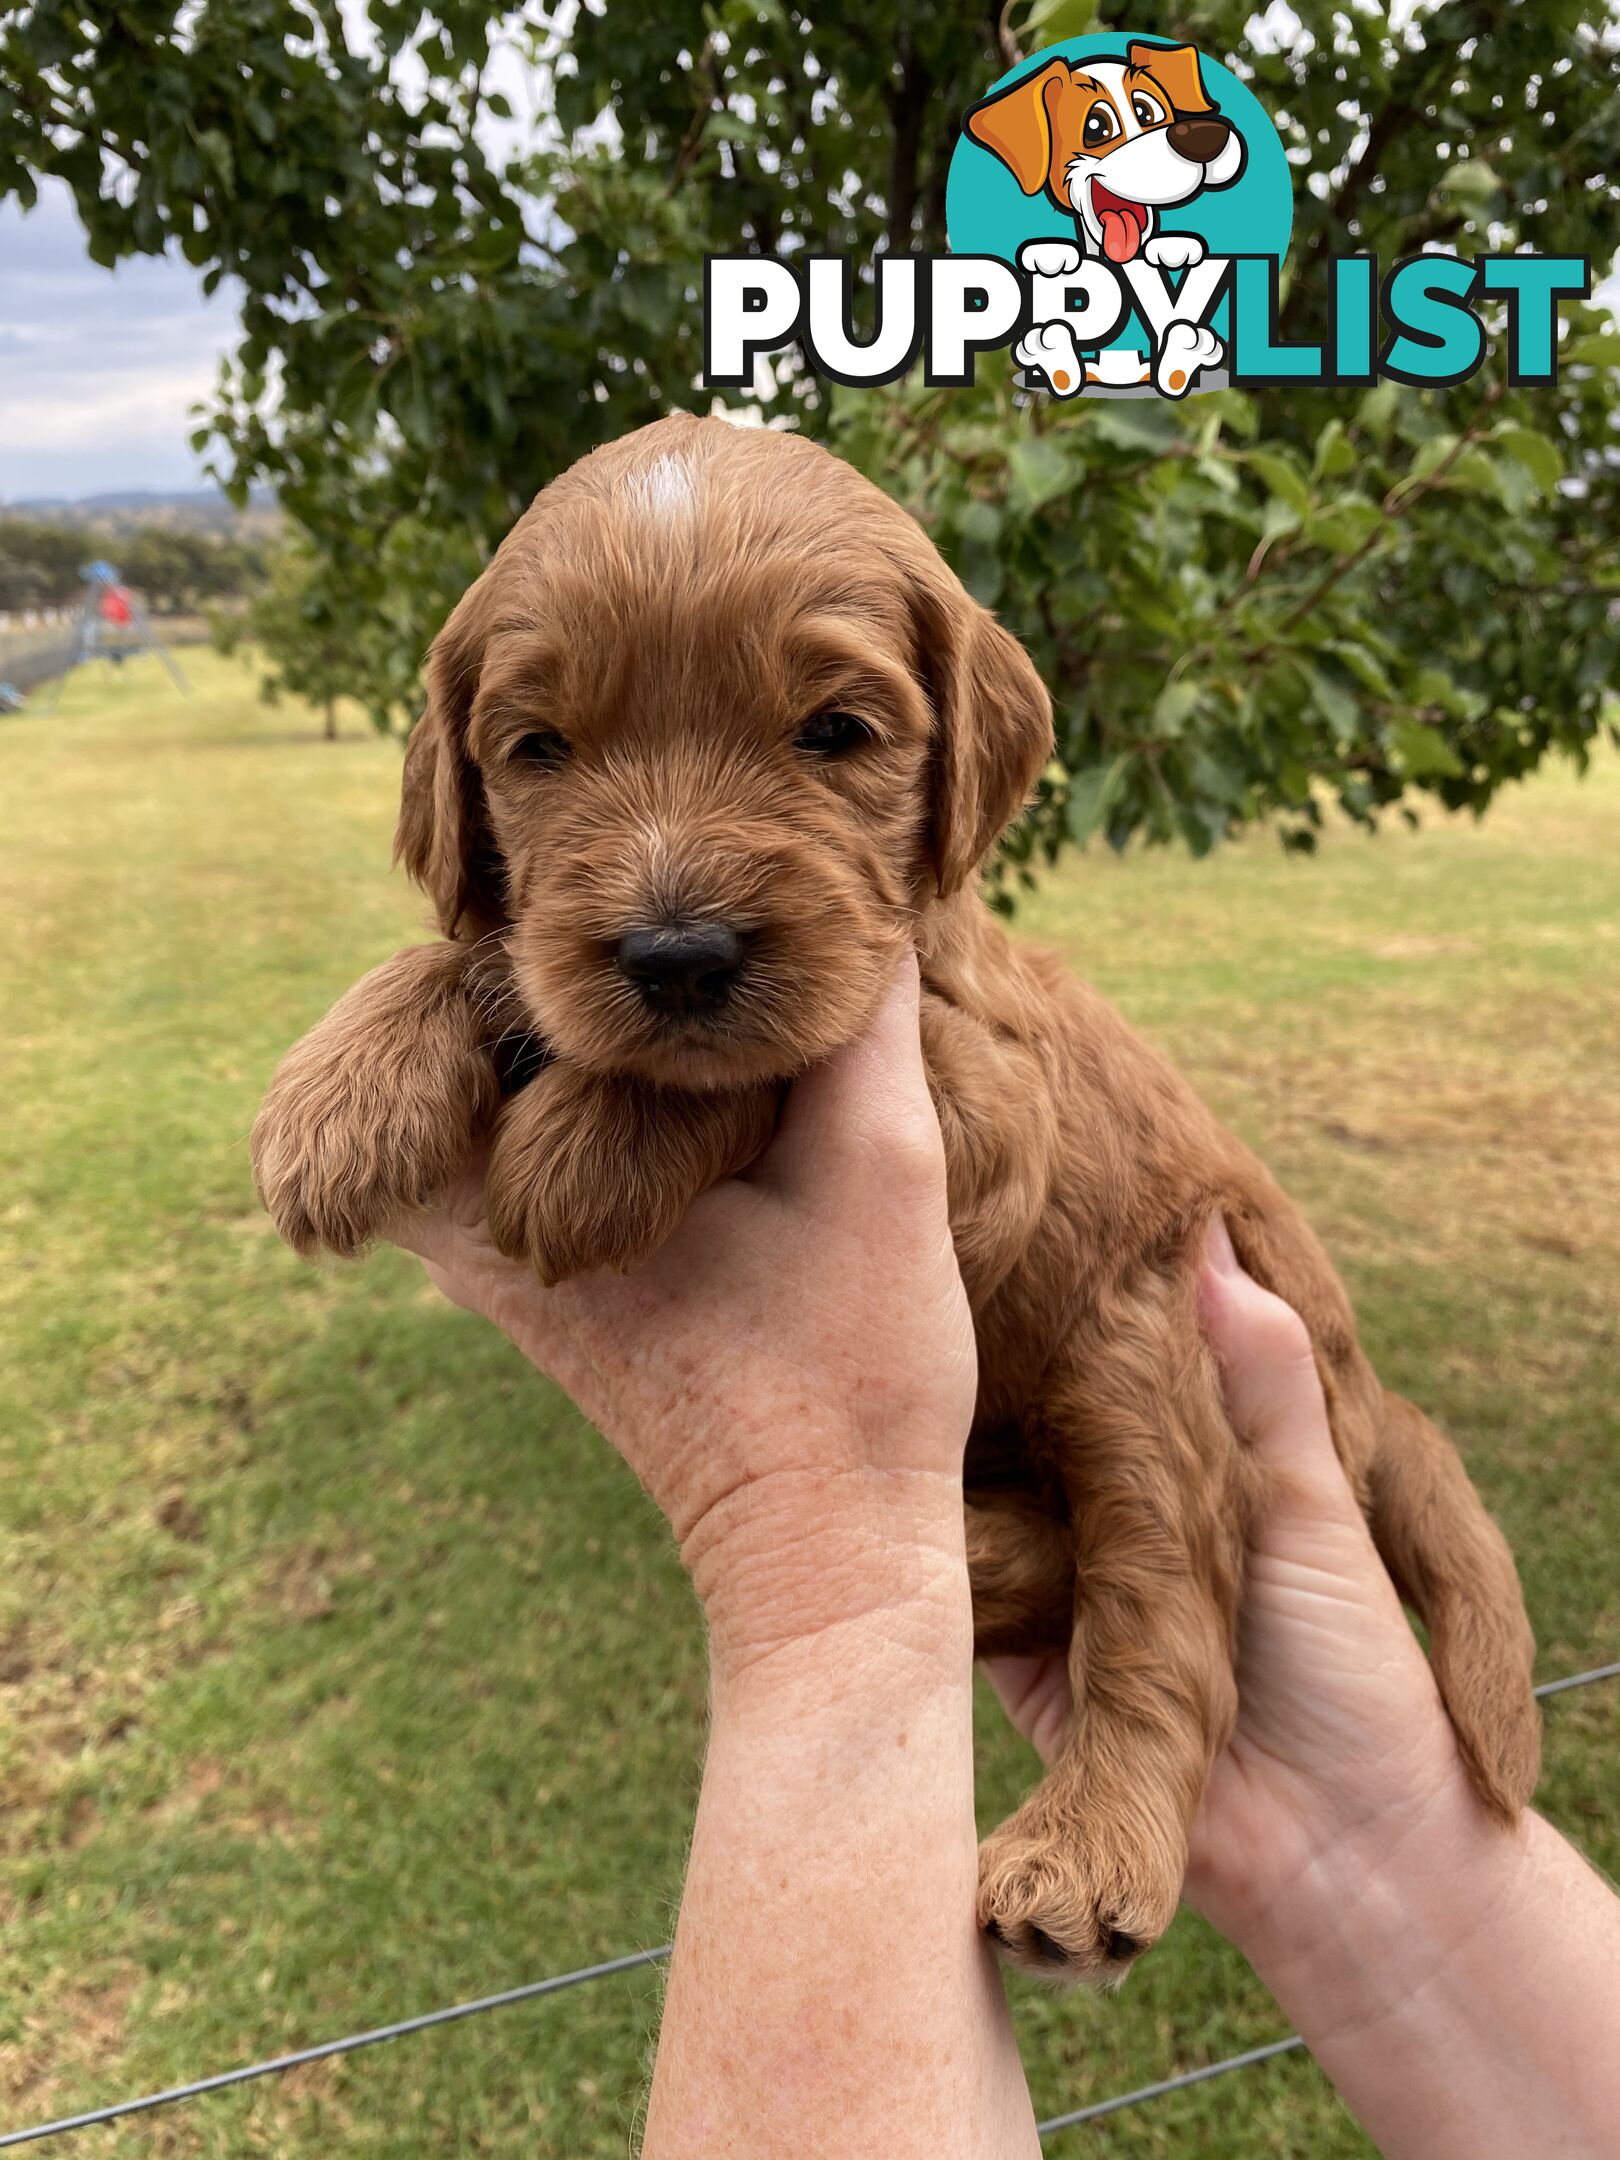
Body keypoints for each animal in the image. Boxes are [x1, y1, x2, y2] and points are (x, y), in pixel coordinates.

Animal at [247, 412, 1537, 1978]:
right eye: (537, 750)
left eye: (835, 735)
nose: (677, 953)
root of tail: (1371, 1390)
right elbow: (487, 952)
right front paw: (340, 1088)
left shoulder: (984, 1108)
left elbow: (766, 1066)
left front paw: (589, 1147)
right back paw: (967, 1555)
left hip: (1145, 1343)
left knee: (1166, 1612)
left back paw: (1083, 1847)